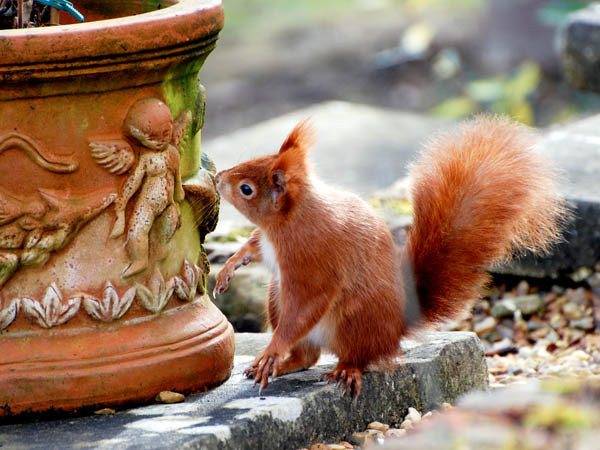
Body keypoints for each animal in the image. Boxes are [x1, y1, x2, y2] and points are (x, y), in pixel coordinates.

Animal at [214, 116, 568, 398]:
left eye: (246, 189)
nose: (218, 177)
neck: (286, 224)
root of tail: (397, 327)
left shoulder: (312, 261)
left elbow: (304, 307)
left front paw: (272, 350)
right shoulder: (268, 243)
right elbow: (253, 246)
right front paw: (229, 268)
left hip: (355, 321)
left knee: (356, 355)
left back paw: (345, 369)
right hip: (277, 298)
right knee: (307, 356)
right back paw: (286, 364)